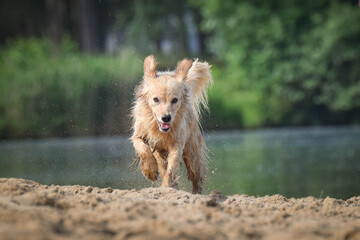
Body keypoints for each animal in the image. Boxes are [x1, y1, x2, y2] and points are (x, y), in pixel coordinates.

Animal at [130, 55, 212, 194]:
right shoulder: (138, 134)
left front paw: (166, 186)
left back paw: (196, 192)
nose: (166, 118)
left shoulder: (177, 144)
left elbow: (171, 168)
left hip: (192, 153)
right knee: (162, 165)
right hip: (160, 153)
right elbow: (143, 148)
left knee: (196, 177)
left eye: (175, 100)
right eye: (155, 99)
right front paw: (150, 171)